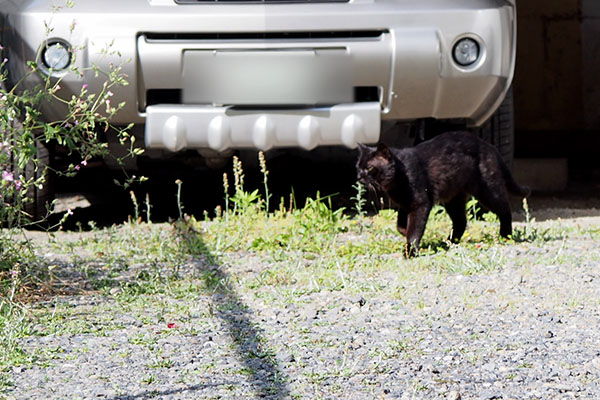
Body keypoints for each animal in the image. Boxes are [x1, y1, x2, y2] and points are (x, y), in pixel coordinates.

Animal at [356, 131, 528, 256]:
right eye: (358, 167)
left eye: (369, 168)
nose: (359, 176)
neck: (400, 176)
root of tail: (488, 145)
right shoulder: (405, 204)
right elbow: (400, 224)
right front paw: (404, 231)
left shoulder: (421, 203)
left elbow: (414, 229)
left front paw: (409, 251)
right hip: (454, 199)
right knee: (461, 222)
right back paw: (448, 242)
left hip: (487, 191)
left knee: (505, 210)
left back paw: (506, 236)